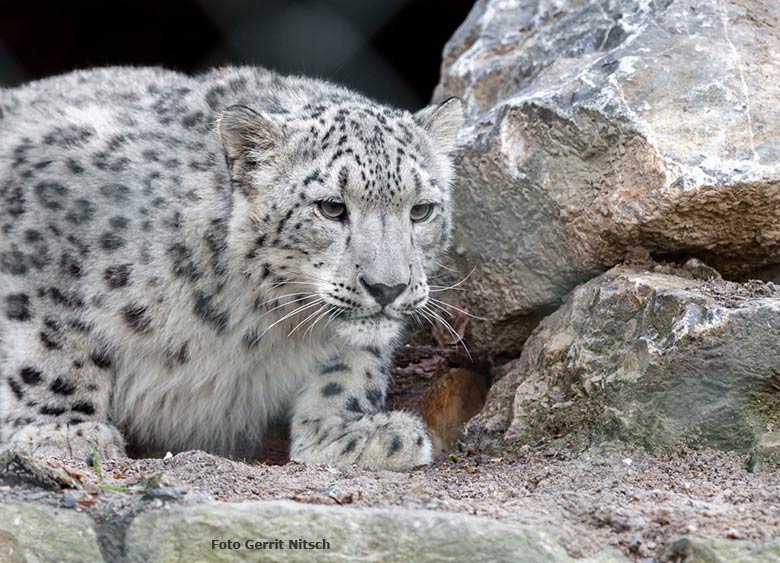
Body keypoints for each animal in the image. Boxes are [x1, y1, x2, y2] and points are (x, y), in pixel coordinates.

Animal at [0, 66, 464, 472]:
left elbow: (352, 363)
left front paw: (350, 432)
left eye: (421, 210)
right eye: (332, 207)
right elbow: (53, 344)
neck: (252, 324)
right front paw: (64, 432)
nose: (388, 287)